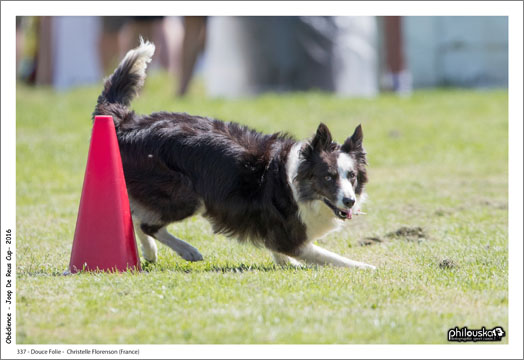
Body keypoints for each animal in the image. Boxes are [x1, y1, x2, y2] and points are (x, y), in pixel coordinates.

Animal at [92, 40, 374, 270]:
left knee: (136, 215)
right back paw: (187, 251)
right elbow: (333, 258)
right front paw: (366, 267)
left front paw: (286, 263)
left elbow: (280, 250)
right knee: (146, 223)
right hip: (185, 193)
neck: (296, 182)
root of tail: (129, 122)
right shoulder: (291, 237)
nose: (349, 201)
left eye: (352, 176)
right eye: (328, 177)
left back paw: (150, 252)